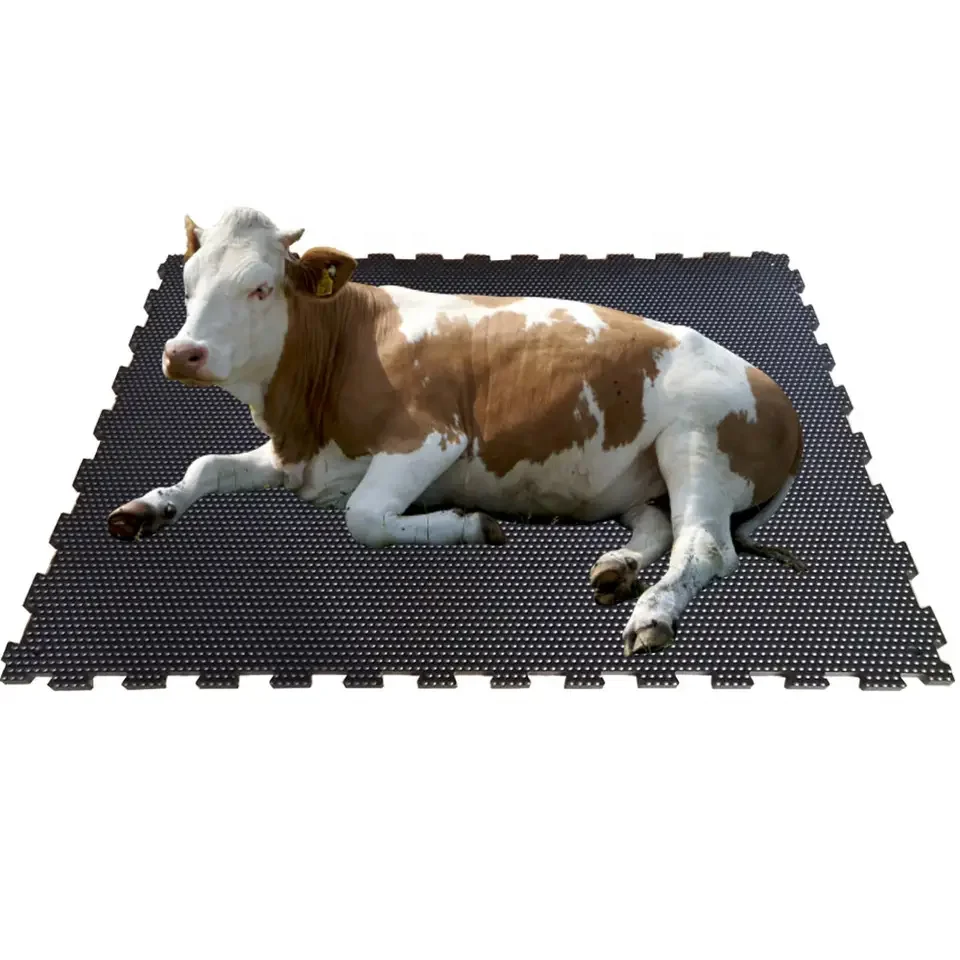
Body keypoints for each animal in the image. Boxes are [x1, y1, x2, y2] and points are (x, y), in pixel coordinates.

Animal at [108, 207, 806, 656]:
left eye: (259, 288)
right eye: (187, 283)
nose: (181, 353)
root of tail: (777, 394)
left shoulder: (432, 438)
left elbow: (364, 517)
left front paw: (470, 525)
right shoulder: (300, 456)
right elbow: (205, 465)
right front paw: (146, 508)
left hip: (697, 443)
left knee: (706, 546)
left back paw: (654, 612)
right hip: (641, 476)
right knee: (659, 526)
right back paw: (617, 568)